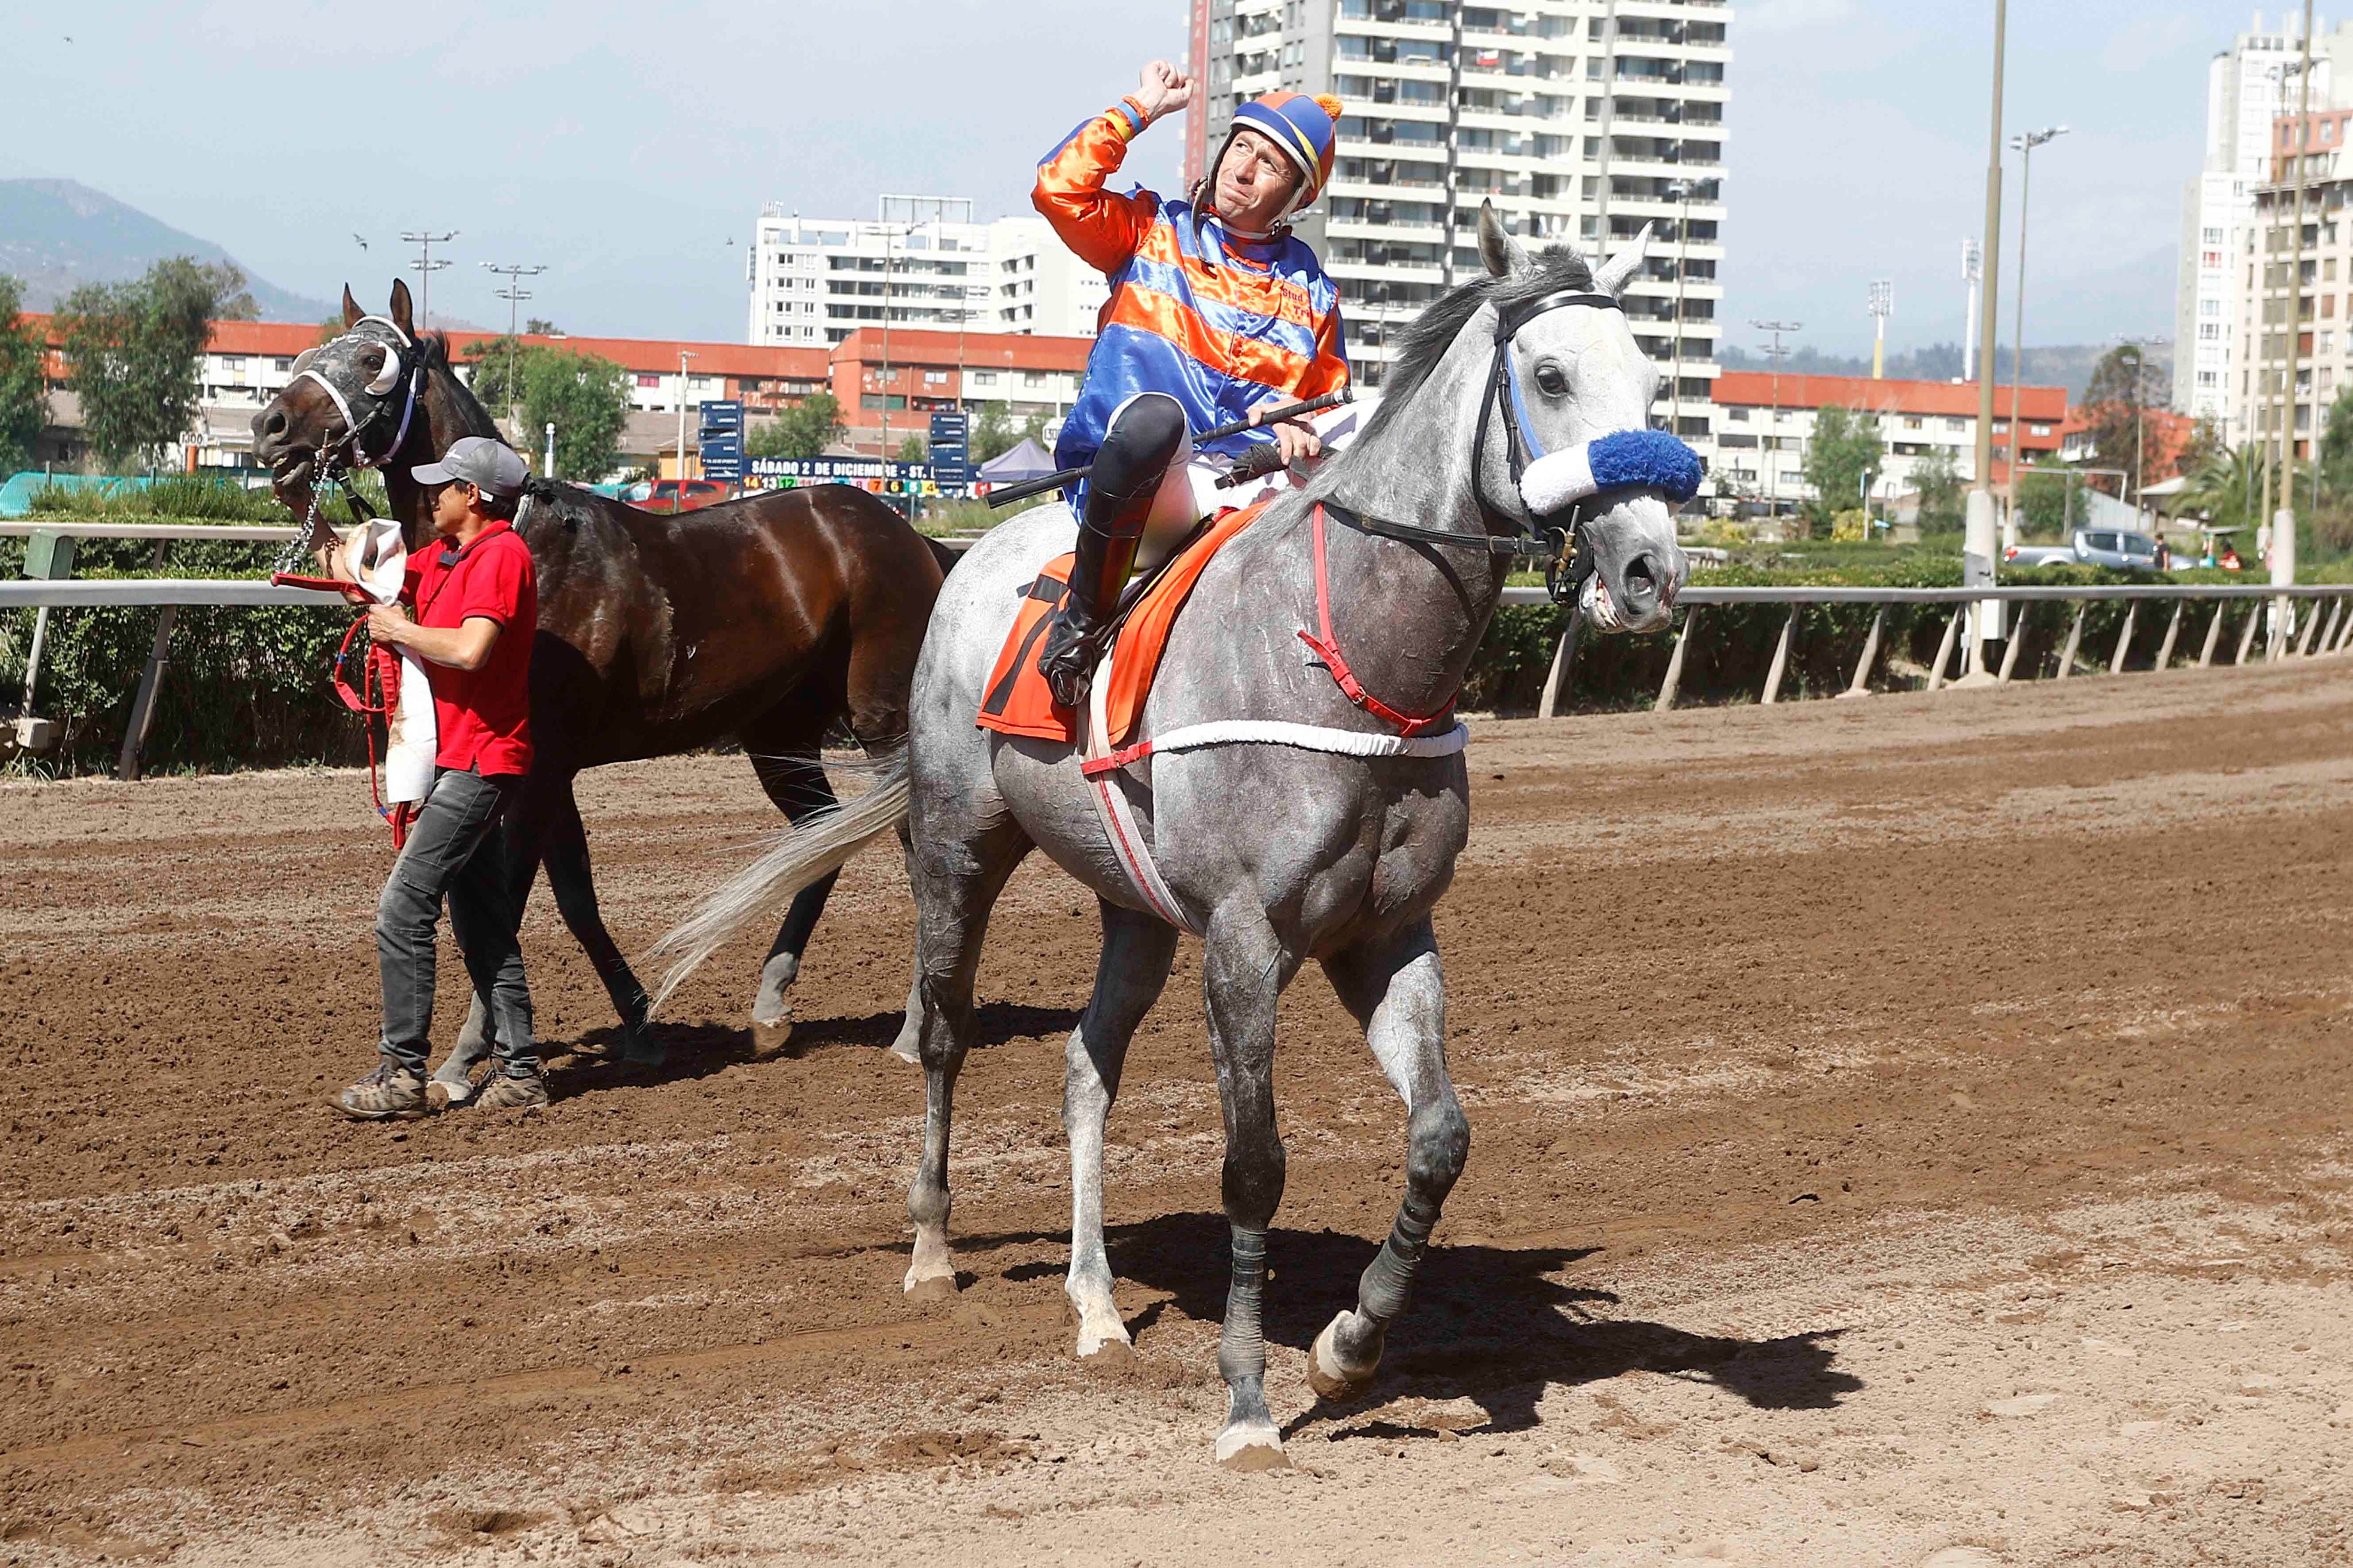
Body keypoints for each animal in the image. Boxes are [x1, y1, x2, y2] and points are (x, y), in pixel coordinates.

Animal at [250, 282, 946, 1067]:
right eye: (311, 354)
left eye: (374, 360)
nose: (271, 427)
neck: (524, 546)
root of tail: (909, 534)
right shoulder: (552, 770)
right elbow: (572, 898)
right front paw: (638, 1024)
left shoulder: (536, 765)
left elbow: (510, 901)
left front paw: (463, 1058)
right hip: (779, 730)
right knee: (819, 837)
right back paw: (771, 1007)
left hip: (883, 723)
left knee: (915, 851)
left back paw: (914, 1031)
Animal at [654, 206, 1684, 1476]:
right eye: (1547, 376)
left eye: (1652, 378)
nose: (1649, 572)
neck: (1345, 653)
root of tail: (969, 551)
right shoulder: (1243, 941)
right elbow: (1253, 1166)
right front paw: (1247, 1399)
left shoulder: (1387, 931)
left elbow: (1440, 1136)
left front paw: (1348, 1348)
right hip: (959, 845)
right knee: (944, 1033)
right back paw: (933, 1246)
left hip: (1134, 911)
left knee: (1086, 1065)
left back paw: (1097, 1303)